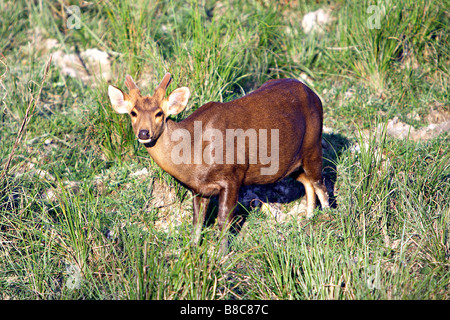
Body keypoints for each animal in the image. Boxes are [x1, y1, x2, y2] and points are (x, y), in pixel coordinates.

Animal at [107, 72, 328, 252]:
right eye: (133, 113)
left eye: (159, 113)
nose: (144, 133)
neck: (193, 152)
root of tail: (313, 94)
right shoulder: (198, 188)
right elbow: (197, 222)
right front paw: (192, 249)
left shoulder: (233, 176)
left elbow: (223, 221)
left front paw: (221, 257)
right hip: (291, 163)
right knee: (307, 182)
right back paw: (308, 217)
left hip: (313, 145)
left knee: (320, 183)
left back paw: (327, 216)